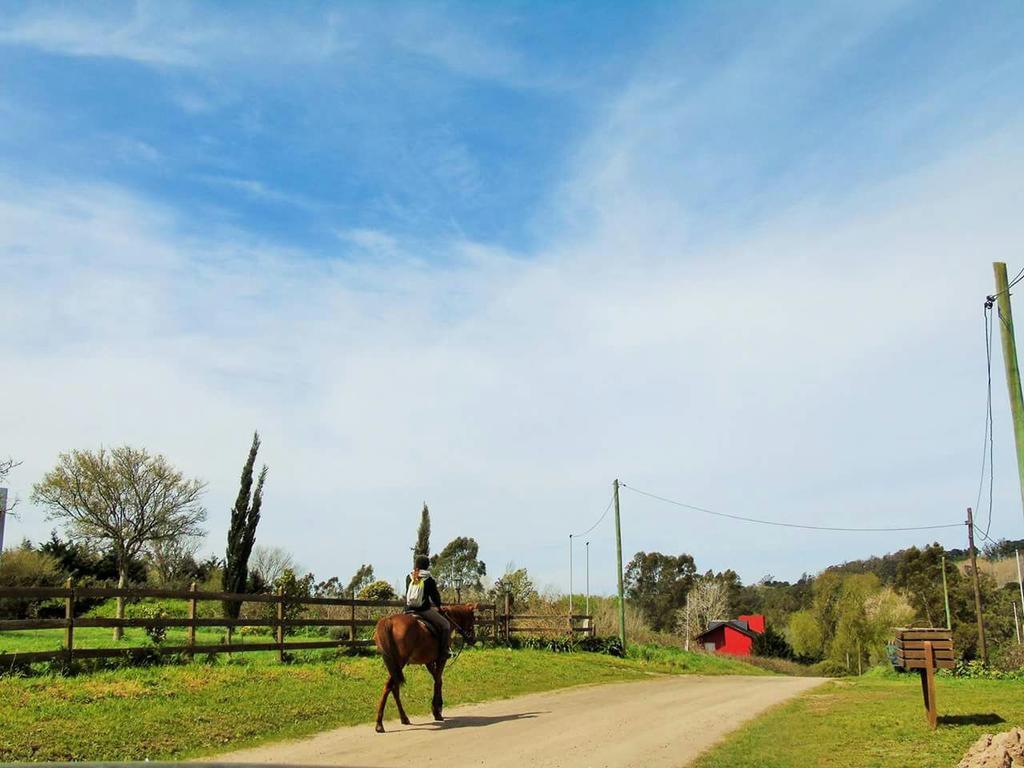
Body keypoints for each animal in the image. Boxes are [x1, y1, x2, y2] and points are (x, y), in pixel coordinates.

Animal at [372, 606, 475, 737]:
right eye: (473, 620)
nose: (473, 639)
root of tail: (389, 620)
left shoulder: (429, 662)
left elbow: (438, 680)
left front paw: (437, 708)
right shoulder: (441, 659)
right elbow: (438, 681)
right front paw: (437, 710)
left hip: (394, 665)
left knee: (394, 687)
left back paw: (403, 718)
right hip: (399, 662)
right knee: (389, 687)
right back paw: (379, 724)